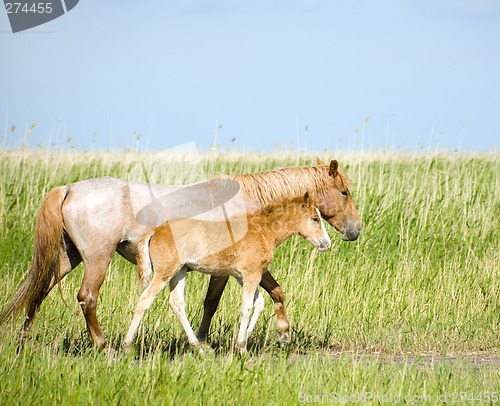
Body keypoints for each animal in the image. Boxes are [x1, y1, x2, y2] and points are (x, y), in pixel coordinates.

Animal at [123, 192, 330, 354]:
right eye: (315, 218)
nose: (326, 243)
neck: (262, 231)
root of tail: (155, 232)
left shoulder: (242, 276)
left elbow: (259, 303)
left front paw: (244, 338)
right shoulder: (252, 275)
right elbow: (247, 307)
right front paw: (242, 347)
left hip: (179, 272)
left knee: (177, 304)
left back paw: (198, 347)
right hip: (164, 272)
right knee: (145, 300)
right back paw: (127, 345)